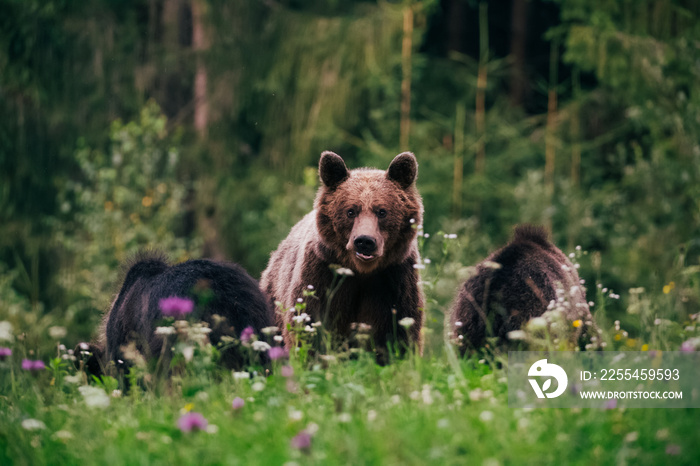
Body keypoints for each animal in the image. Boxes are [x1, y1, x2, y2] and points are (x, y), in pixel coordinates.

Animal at [262, 151, 424, 362]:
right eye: (351, 211)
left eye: (382, 211)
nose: (364, 241)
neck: (361, 271)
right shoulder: (321, 275)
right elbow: (310, 328)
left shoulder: (394, 280)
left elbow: (400, 332)